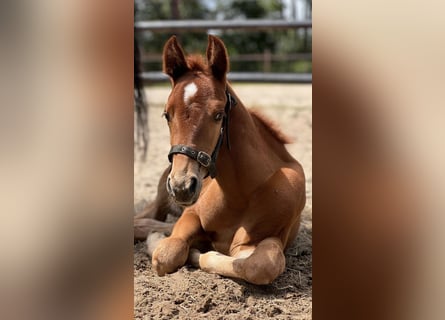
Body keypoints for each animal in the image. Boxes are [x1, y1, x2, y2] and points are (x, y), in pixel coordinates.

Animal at [134, 35, 306, 284]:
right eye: (166, 114)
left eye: (218, 115)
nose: (181, 186)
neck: (240, 194)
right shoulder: (191, 215)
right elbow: (167, 252)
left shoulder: (266, 239)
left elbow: (260, 266)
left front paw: (198, 251)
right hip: (160, 201)